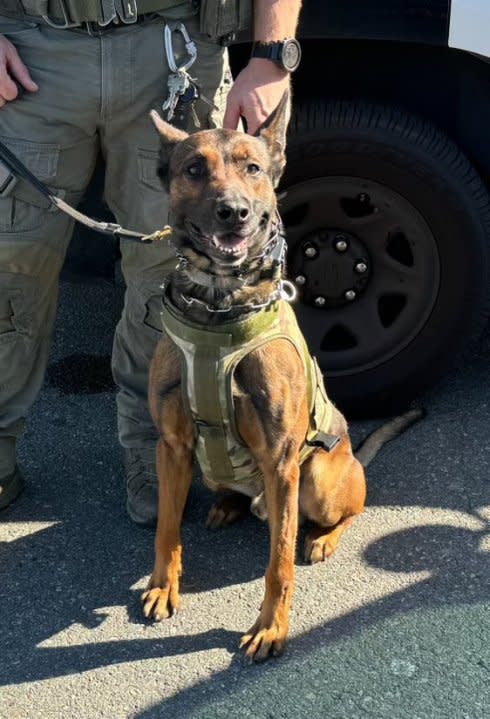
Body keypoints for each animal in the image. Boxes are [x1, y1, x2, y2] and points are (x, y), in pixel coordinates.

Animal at [141, 95, 422, 664]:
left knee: (345, 510)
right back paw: (227, 505)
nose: (234, 212)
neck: (220, 306)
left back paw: (324, 538)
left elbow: (278, 564)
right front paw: (163, 585)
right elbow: (166, 528)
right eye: (194, 169)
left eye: (252, 168)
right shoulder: (172, 445)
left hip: (316, 481)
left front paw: (271, 627)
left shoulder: (280, 461)